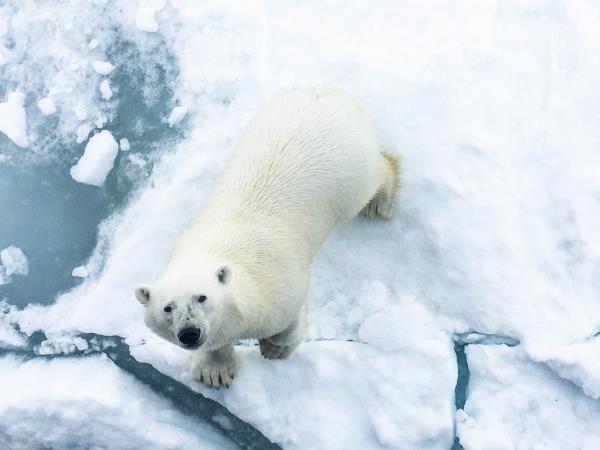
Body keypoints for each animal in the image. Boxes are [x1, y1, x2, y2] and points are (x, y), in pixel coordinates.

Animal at [135, 87, 398, 386]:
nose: (189, 333)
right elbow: (215, 345)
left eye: (202, 297)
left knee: (371, 180)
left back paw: (380, 199)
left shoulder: (280, 289)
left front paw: (274, 348)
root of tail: (330, 94)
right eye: (167, 308)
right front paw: (215, 370)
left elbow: (287, 322)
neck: (217, 251)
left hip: (350, 170)